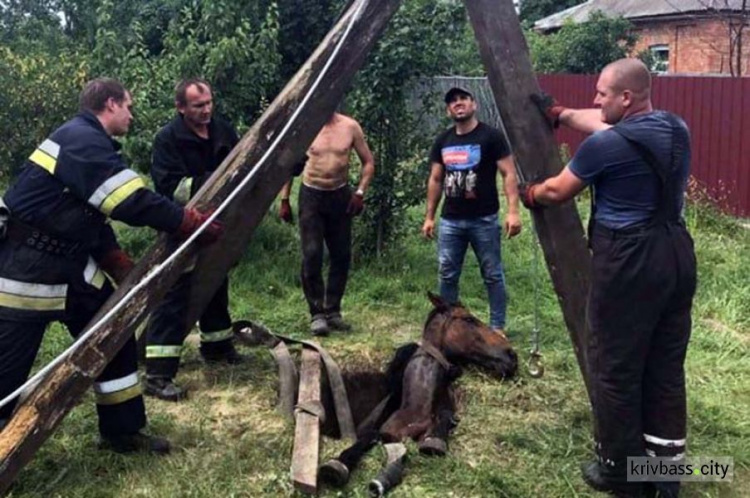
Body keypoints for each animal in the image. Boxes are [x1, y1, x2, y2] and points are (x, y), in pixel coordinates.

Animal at [318, 292, 516, 494]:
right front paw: (337, 465)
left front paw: (434, 441)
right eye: (469, 319)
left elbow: (446, 415)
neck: (414, 409)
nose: (511, 355)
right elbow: (369, 437)